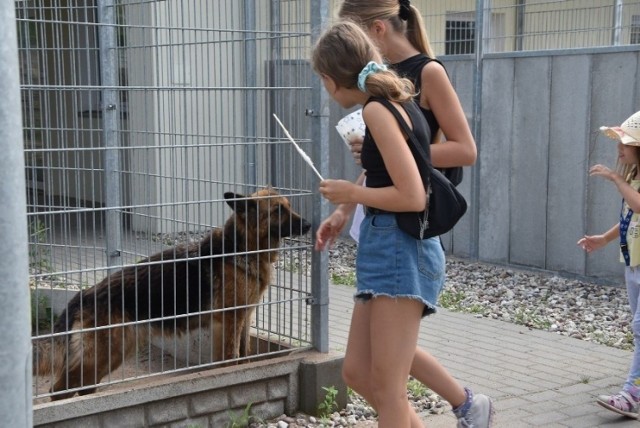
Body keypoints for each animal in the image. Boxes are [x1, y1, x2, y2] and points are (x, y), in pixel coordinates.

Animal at [33, 189, 312, 400]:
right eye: (278, 210)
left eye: (289, 206)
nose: (309, 224)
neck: (242, 248)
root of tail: (82, 296)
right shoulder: (230, 322)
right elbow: (231, 360)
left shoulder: (244, 318)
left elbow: (245, 356)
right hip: (105, 353)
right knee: (59, 390)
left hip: (108, 356)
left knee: (79, 387)